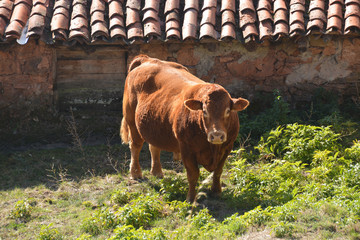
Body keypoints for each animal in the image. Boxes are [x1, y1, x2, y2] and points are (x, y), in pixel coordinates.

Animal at [119, 55, 249, 202]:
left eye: (228, 111)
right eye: (204, 111)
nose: (216, 135)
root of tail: (147, 59)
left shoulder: (227, 147)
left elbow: (218, 171)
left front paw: (216, 191)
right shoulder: (186, 149)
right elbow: (193, 174)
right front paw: (190, 198)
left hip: (154, 125)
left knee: (154, 147)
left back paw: (157, 172)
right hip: (131, 121)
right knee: (135, 146)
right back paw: (136, 173)